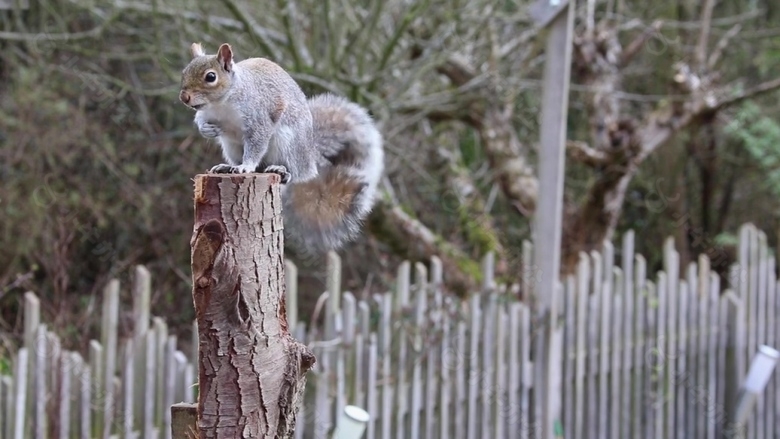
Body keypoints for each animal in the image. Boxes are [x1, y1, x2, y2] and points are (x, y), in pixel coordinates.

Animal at [177, 43, 384, 254]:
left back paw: (282, 170)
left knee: (298, 174)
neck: (221, 103)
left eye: (211, 77)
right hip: (231, 147)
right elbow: (200, 121)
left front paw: (246, 166)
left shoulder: (259, 120)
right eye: (184, 72)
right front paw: (207, 130)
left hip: (289, 144)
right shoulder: (207, 114)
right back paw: (227, 167)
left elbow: (257, 144)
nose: (184, 97)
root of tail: (310, 156)